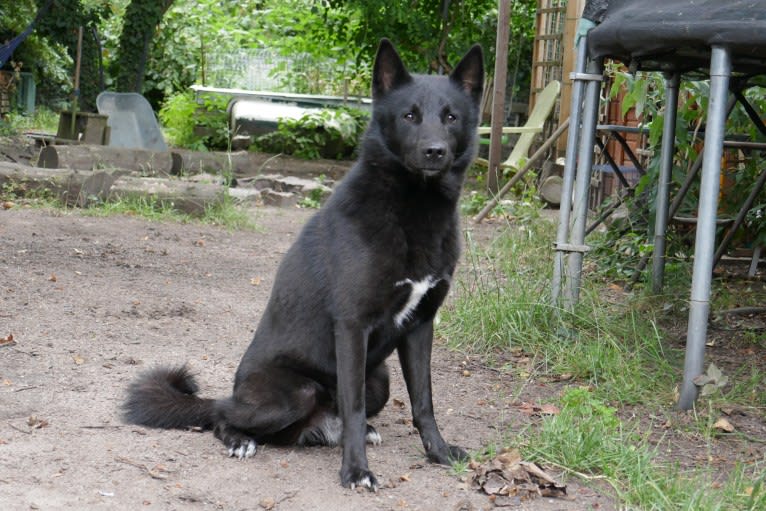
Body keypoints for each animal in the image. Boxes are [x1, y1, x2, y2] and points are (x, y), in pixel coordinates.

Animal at [126, 38, 486, 490]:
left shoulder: (420, 326)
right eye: (409, 115)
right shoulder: (352, 326)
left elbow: (424, 402)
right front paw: (356, 471)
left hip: (379, 378)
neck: (414, 210)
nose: (434, 151)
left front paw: (438, 452)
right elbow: (353, 407)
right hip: (296, 392)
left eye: (451, 117)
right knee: (221, 413)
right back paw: (239, 439)